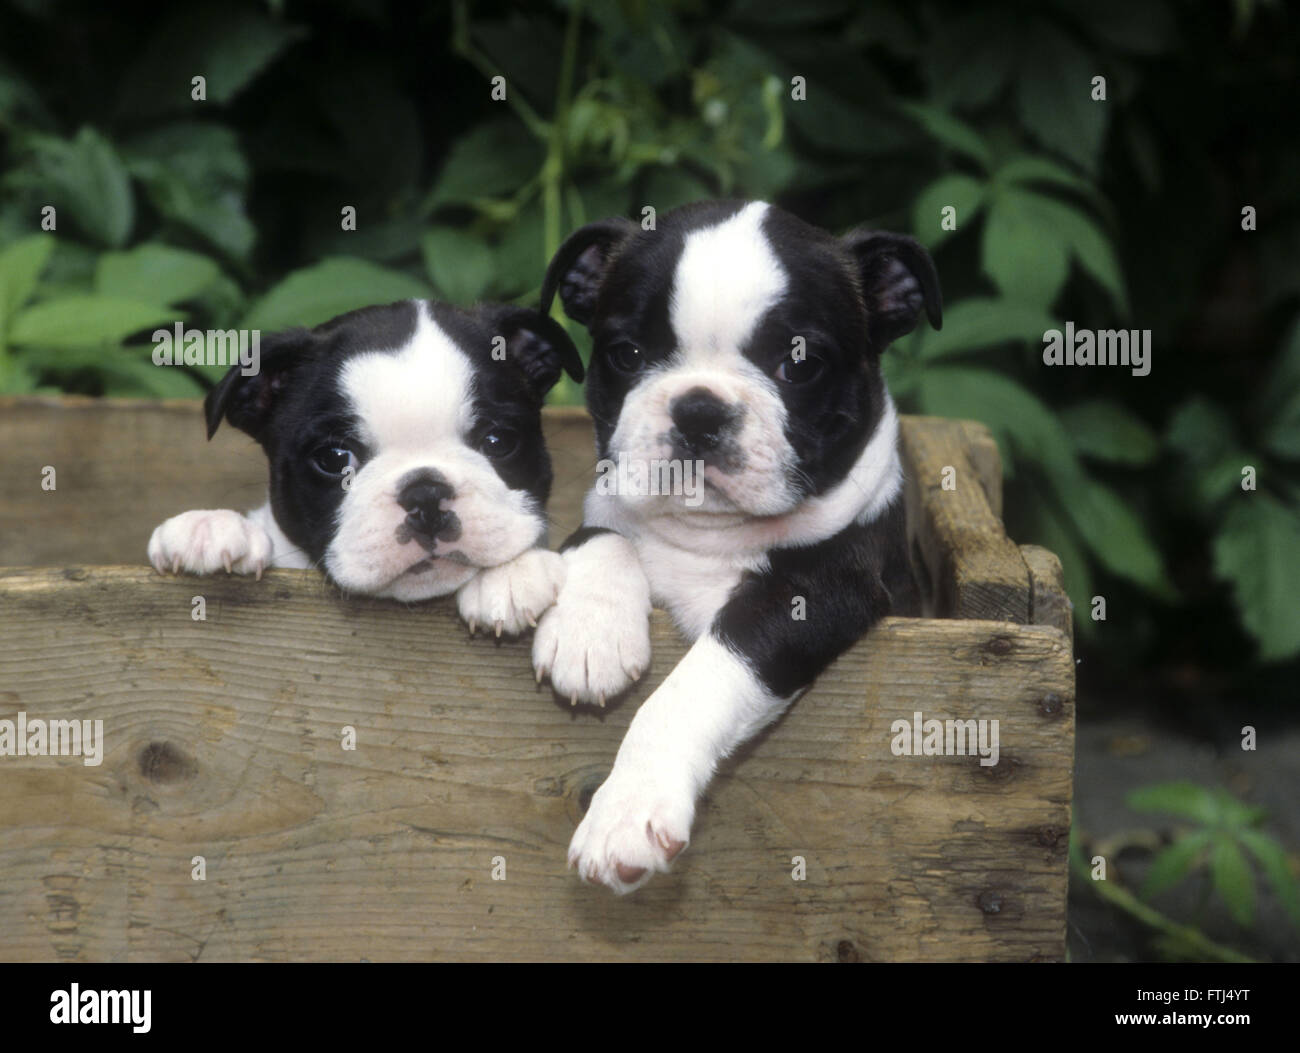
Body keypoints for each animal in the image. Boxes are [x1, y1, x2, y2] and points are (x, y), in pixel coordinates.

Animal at [535, 197, 946, 883]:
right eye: (626, 353)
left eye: (800, 363)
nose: (699, 409)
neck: (708, 535)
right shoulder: (607, 503)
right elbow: (595, 534)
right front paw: (588, 633)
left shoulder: (814, 591)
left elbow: (693, 685)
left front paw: (627, 810)